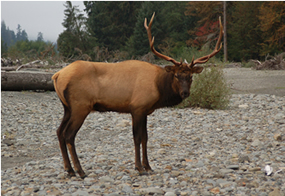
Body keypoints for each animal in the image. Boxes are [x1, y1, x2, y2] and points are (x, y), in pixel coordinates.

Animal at [52, 11, 223, 178]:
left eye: (191, 77)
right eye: (176, 75)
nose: (185, 92)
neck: (159, 87)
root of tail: (57, 75)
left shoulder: (145, 110)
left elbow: (146, 138)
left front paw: (149, 167)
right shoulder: (137, 107)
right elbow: (137, 138)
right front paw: (139, 168)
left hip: (67, 107)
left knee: (59, 132)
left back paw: (69, 170)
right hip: (80, 105)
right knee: (69, 135)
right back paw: (80, 171)